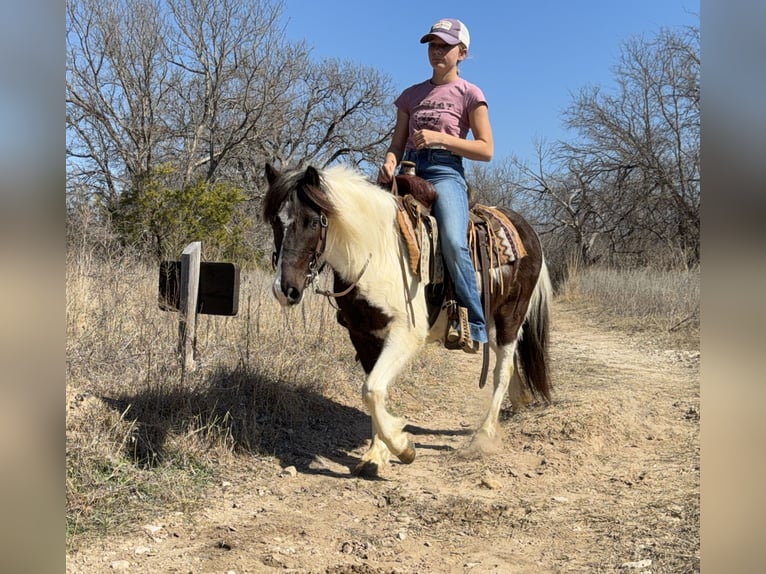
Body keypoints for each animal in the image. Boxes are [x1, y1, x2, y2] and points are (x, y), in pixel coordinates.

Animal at [262, 162, 552, 476]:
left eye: (314, 222)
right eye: (276, 222)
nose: (285, 290)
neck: (376, 251)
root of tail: (529, 231)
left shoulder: (405, 334)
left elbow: (372, 389)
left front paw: (401, 445)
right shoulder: (363, 334)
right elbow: (374, 390)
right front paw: (375, 453)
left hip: (510, 316)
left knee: (502, 370)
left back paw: (484, 435)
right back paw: (518, 403)